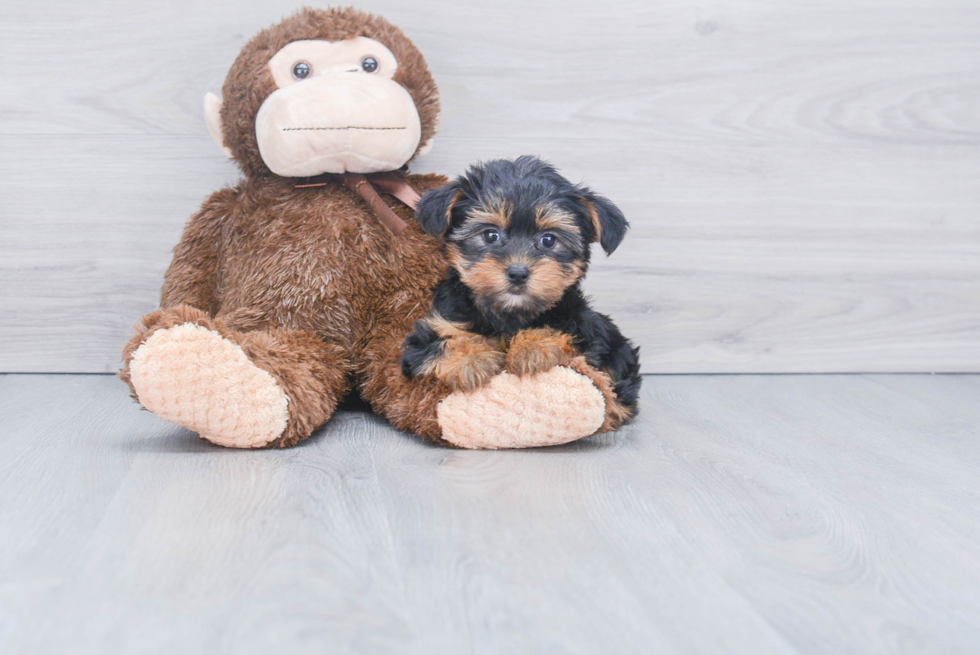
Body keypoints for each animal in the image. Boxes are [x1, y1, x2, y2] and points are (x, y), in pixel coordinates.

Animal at [400, 155, 644, 416]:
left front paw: (532, 347)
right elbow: (443, 341)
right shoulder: (428, 335)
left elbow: (562, 335)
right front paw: (470, 360)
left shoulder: (584, 331)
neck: (509, 314)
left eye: (548, 240)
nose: (518, 273)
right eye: (490, 235)